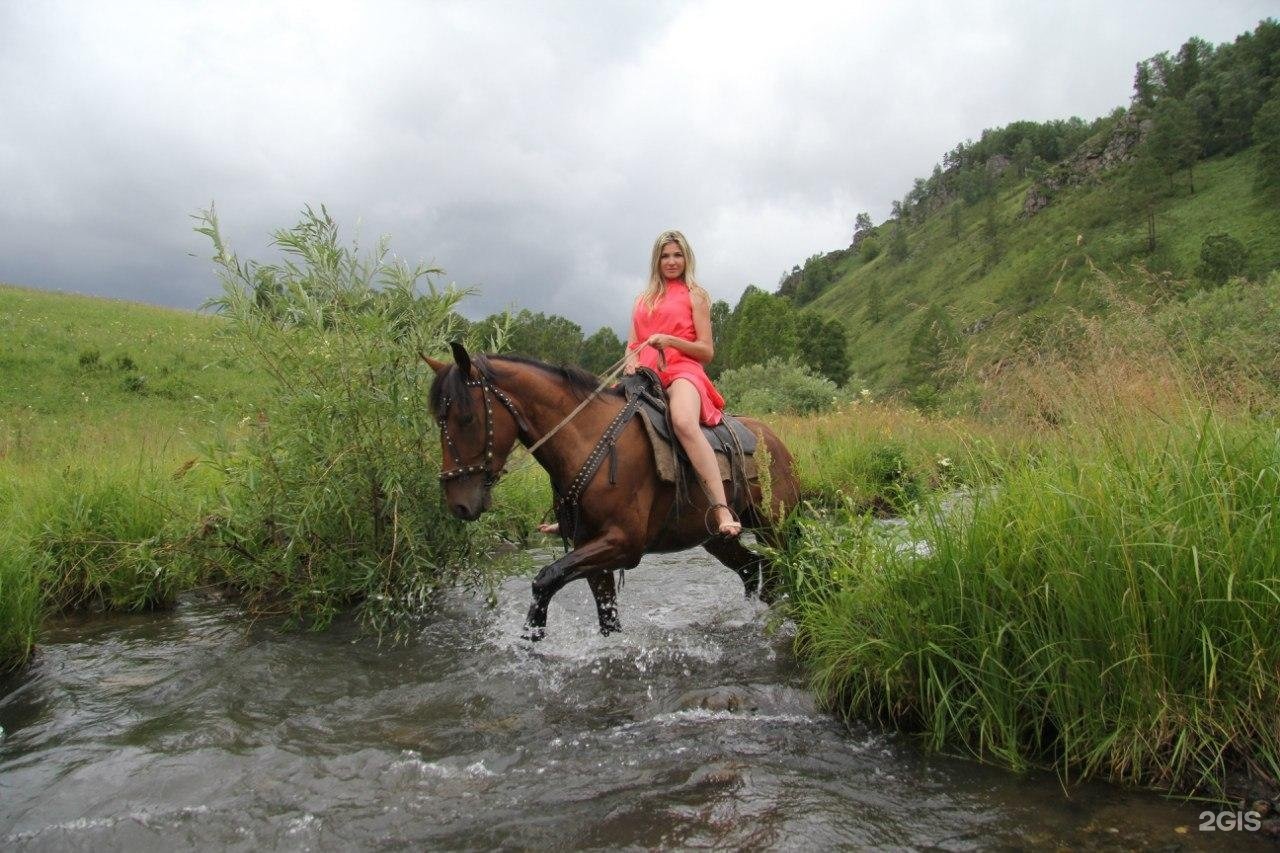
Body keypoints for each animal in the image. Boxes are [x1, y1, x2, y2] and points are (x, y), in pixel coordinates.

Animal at [424, 338, 793, 637]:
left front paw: (533, 633)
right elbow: (606, 618)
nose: (458, 503)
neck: (587, 440)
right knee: (751, 568)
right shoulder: (590, 548)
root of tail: (775, 441)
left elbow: (546, 578)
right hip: (715, 538)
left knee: (776, 567)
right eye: (438, 421)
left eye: (467, 418)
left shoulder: (623, 543)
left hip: (773, 527)